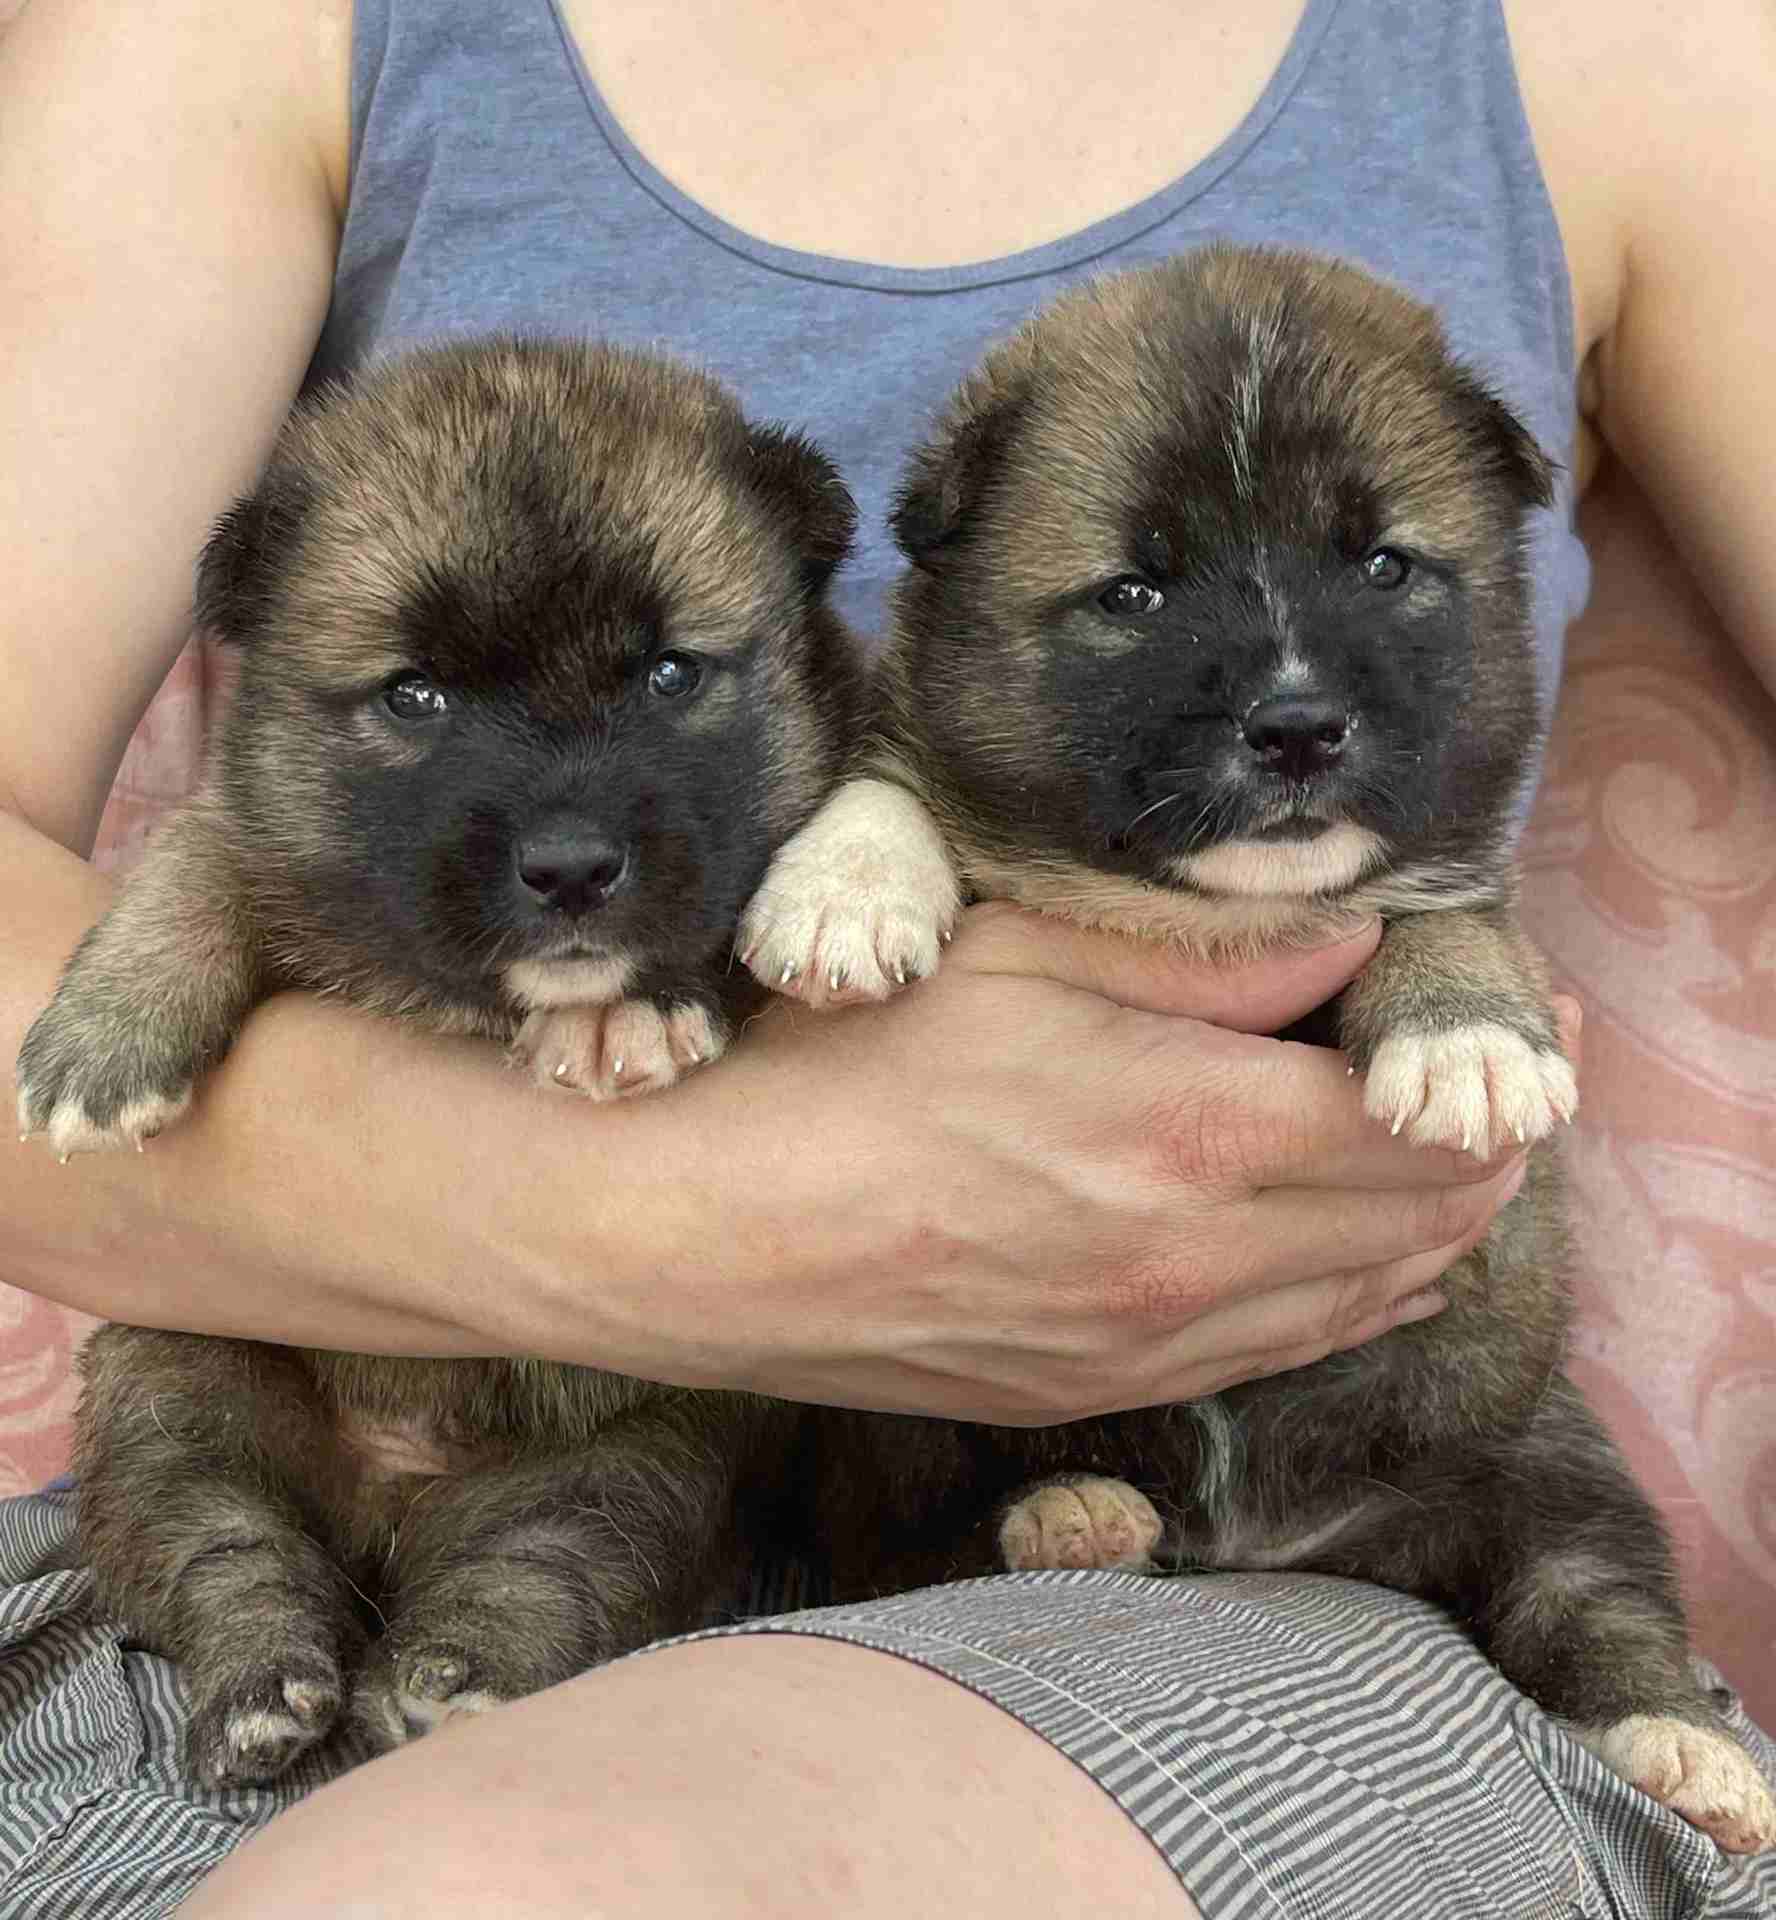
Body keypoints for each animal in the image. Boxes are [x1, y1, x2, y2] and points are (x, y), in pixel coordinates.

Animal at [17, 337, 864, 1789]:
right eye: (416, 695)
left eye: (669, 676)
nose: (571, 866)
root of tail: (396, 1495)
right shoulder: (262, 825)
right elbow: (190, 865)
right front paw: (102, 1042)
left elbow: (737, 918)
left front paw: (642, 1002)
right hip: (171, 1387)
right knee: (220, 1544)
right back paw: (262, 1686)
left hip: (639, 1458)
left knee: (540, 1569)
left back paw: (448, 1679)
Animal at [737, 247, 1774, 1850]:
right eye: (1136, 590)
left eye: (1385, 567)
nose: (1295, 724)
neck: (1212, 916)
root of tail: (1286, 1543)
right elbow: (891, 780)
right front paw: (845, 893)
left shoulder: (1449, 868)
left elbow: (1438, 915)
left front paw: (1469, 1040)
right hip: (887, 1417)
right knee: (920, 1521)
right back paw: (1068, 1509)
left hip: (1549, 1456)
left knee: (1592, 1595)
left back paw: (1681, 1743)